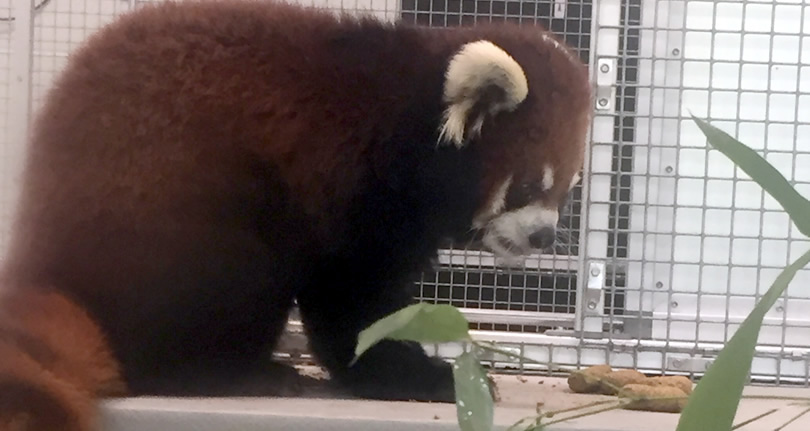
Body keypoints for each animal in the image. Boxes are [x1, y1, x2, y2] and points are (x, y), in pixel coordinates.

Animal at [1, 0, 592, 428]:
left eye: (566, 191)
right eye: (527, 185)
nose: (544, 237)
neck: (408, 116)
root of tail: (48, 268)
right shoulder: (354, 181)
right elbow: (353, 304)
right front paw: (419, 375)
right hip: (190, 227)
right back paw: (237, 372)